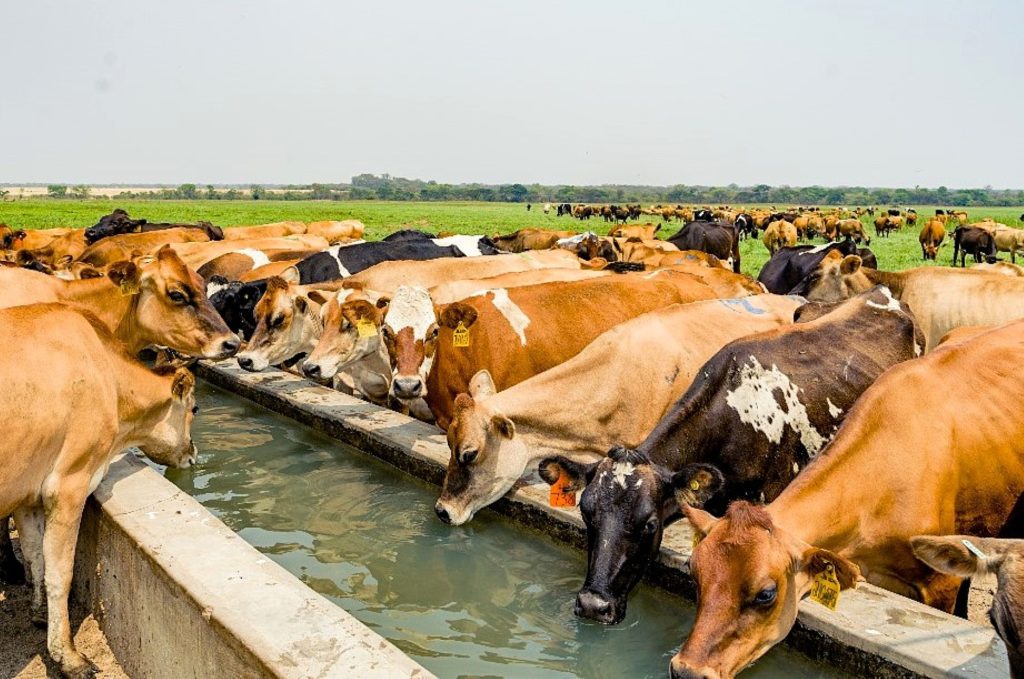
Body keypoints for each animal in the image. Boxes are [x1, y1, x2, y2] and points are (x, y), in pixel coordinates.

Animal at [0, 304, 198, 678]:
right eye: (195, 408)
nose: (193, 453)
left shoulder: (29, 492)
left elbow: (35, 554)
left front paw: (39, 613)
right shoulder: (69, 483)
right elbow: (60, 572)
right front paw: (69, 657)